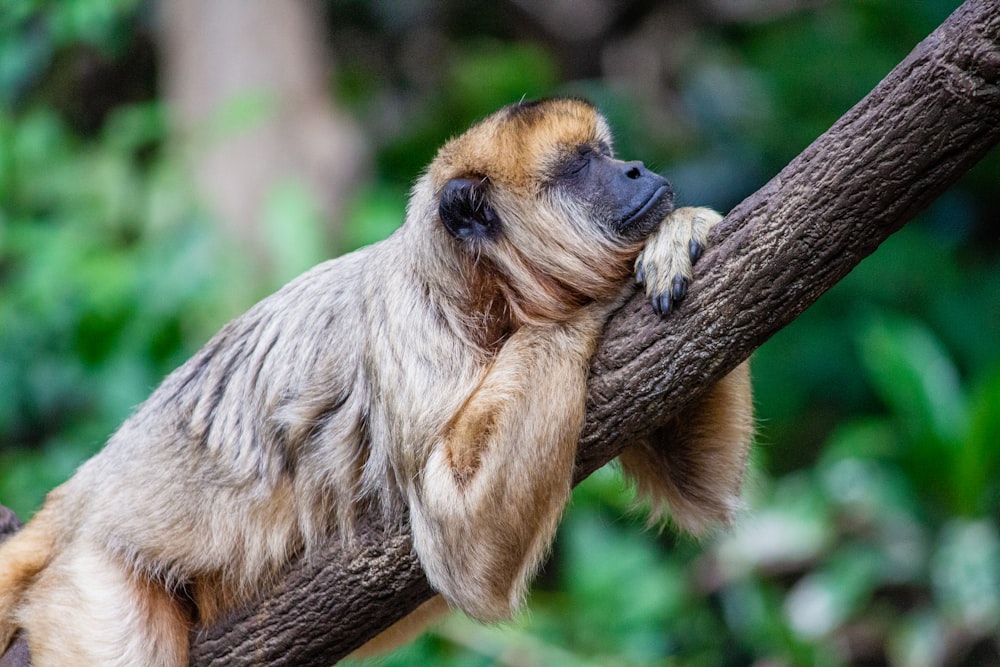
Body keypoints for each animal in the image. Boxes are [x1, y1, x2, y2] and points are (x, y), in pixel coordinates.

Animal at [0, 96, 752, 664]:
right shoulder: (411, 332)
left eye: (606, 152)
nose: (634, 168)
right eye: (579, 168)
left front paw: (681, 231)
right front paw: (593, 296)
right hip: (95, 573)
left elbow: (693, 479)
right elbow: (461, 545)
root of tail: (92, 484)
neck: (484, 292)